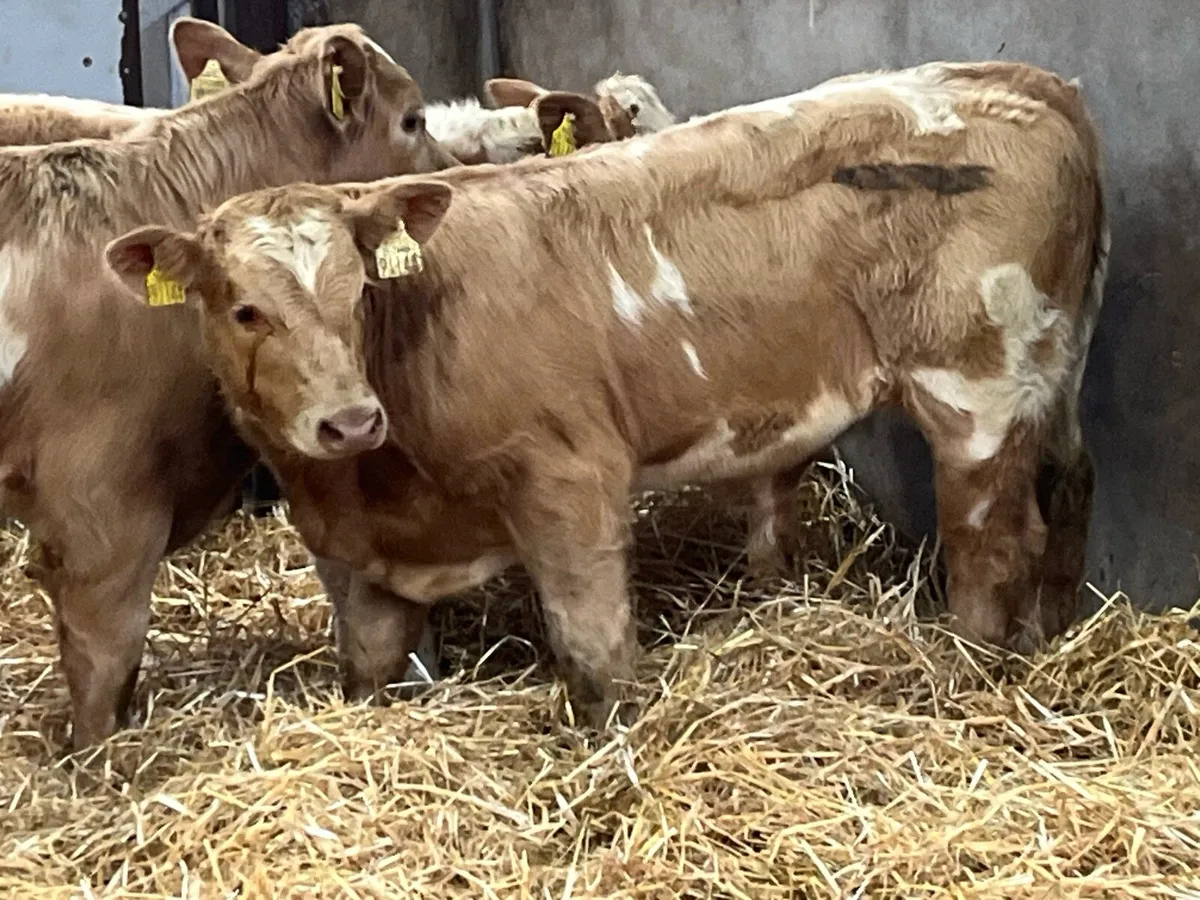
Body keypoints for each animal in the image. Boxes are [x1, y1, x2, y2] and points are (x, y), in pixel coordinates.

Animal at [107, 60, 1107, 730]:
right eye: (244, 310)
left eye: (358, 291)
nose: (350, 420)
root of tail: (1021, 79)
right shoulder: (353, 560)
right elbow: (370, 669)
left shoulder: (569, 480)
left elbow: (594, 651)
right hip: (1049, 377)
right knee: (1070, 487)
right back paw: (1051, 633)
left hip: (975, 389)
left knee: (991, 546)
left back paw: (969, 674)